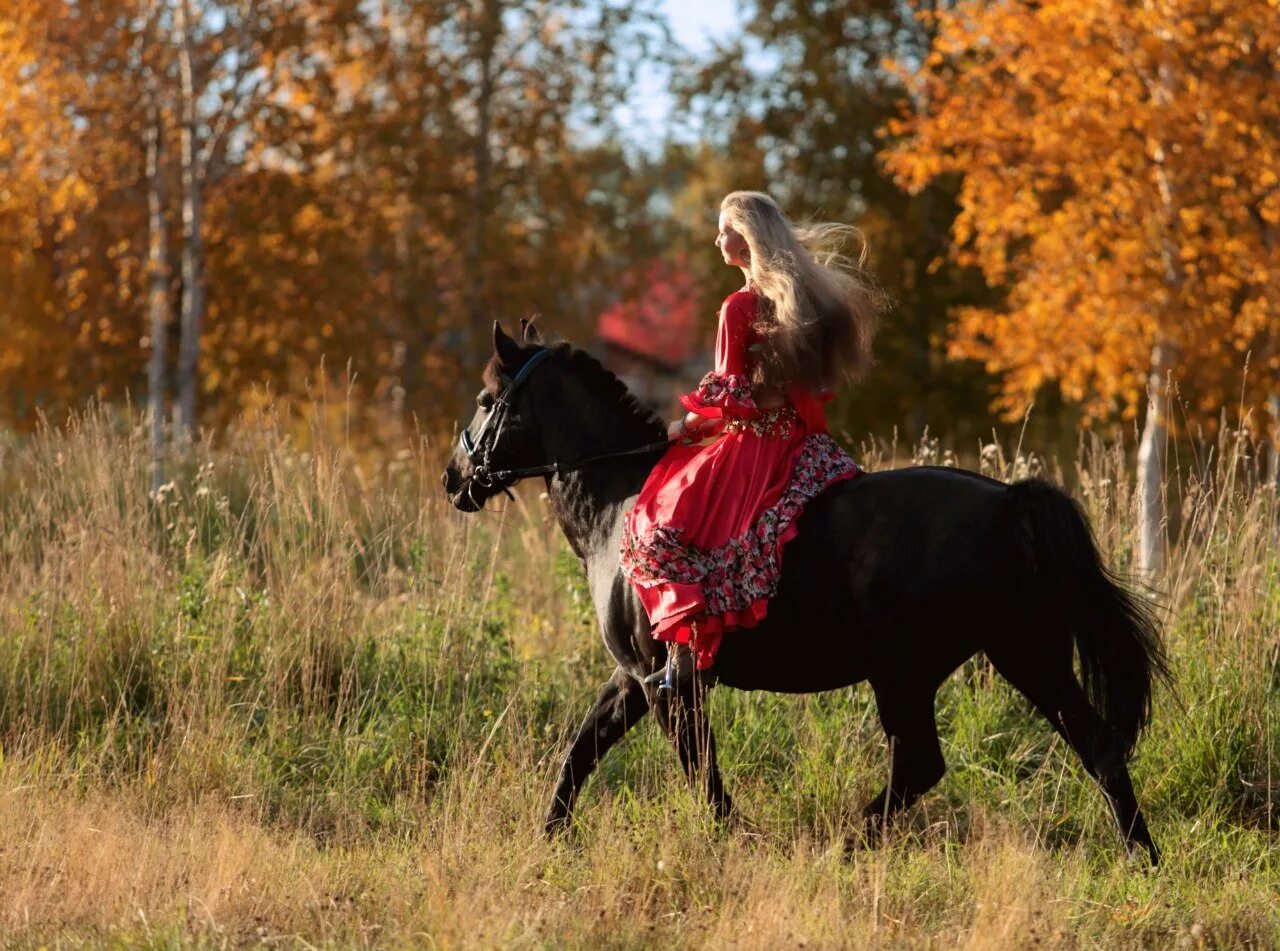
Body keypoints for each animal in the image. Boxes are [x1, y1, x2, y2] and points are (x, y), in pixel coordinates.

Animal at [440, 321, 1172, 865]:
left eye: (485, 398)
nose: (454, 478)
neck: (618, 502)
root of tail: (1010, 500)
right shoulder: (635, 677)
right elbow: (582, 750)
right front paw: (549, 838)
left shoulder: (665, 679)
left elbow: (700, 772)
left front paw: (735, 843)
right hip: (1014, 654)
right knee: (1085, 745)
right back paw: (1142, 859)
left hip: (924, 668)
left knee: (928, 762)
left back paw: (845, 846)